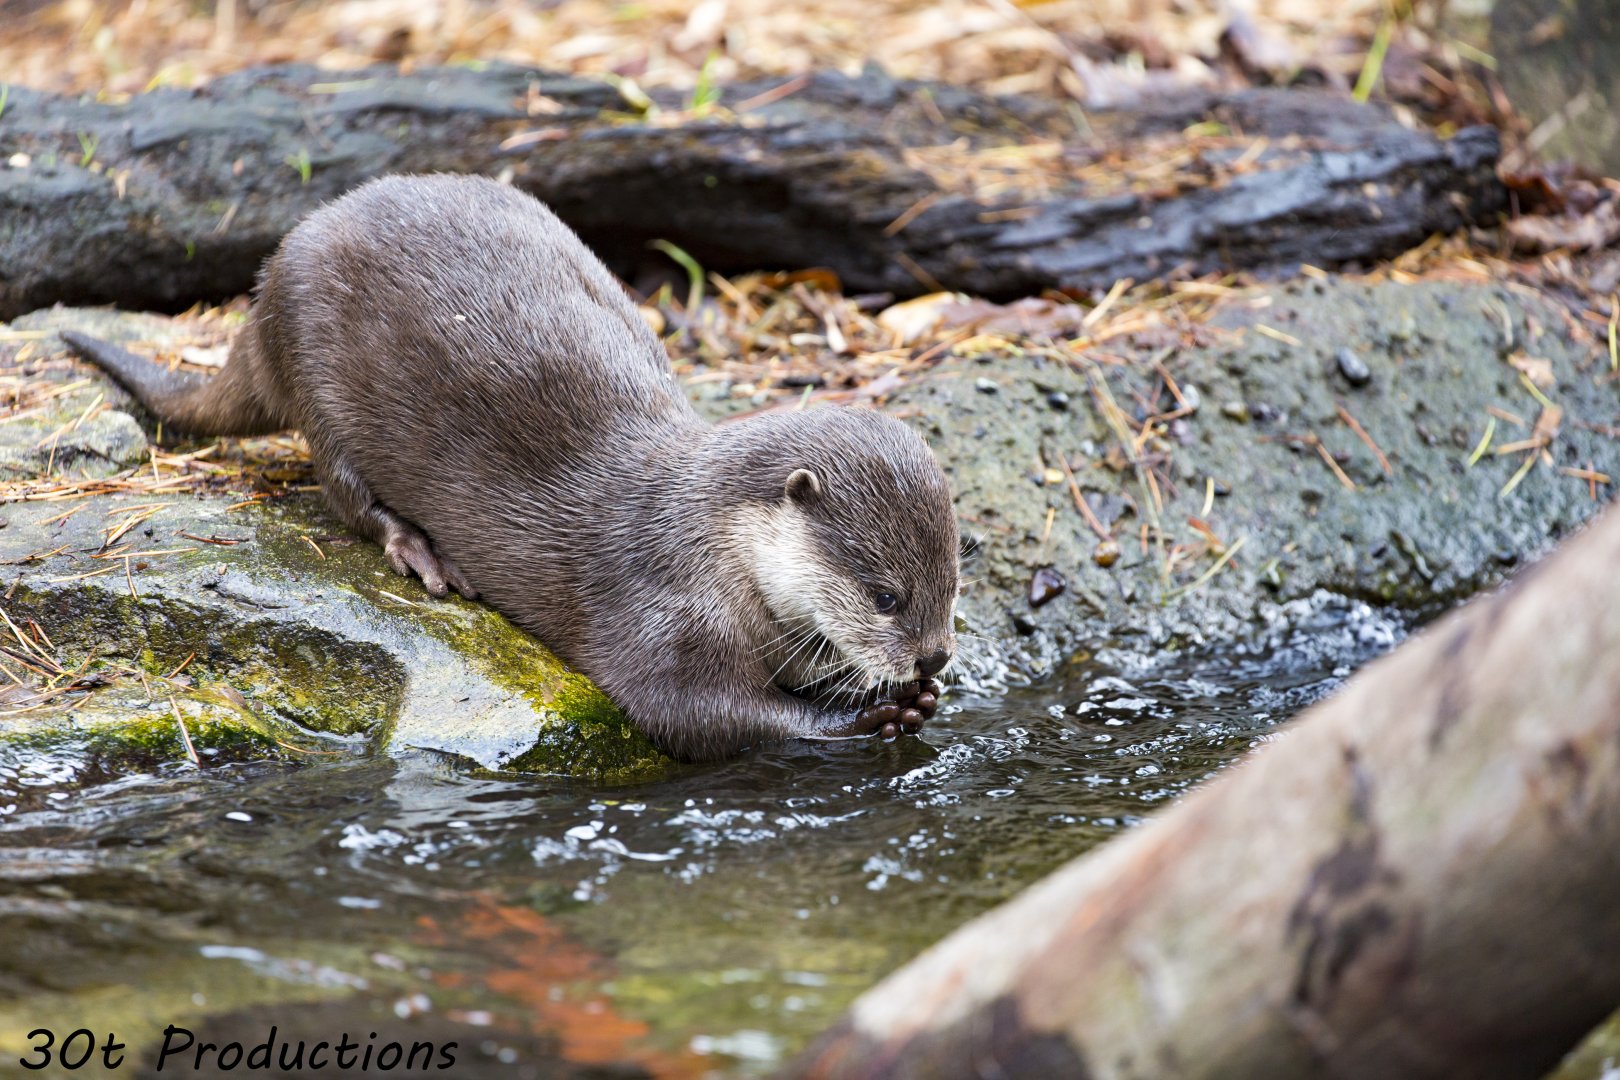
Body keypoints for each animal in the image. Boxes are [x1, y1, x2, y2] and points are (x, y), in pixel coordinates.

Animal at [61, 174, 958, 762]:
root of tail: (267, 282)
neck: (709, 544)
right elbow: (696, 715)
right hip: (319, 381)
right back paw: (421, 552)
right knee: (347, 495)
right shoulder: (659, 607)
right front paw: (866, 719)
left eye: (953, 583)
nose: (934, 659)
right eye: (885, 595)